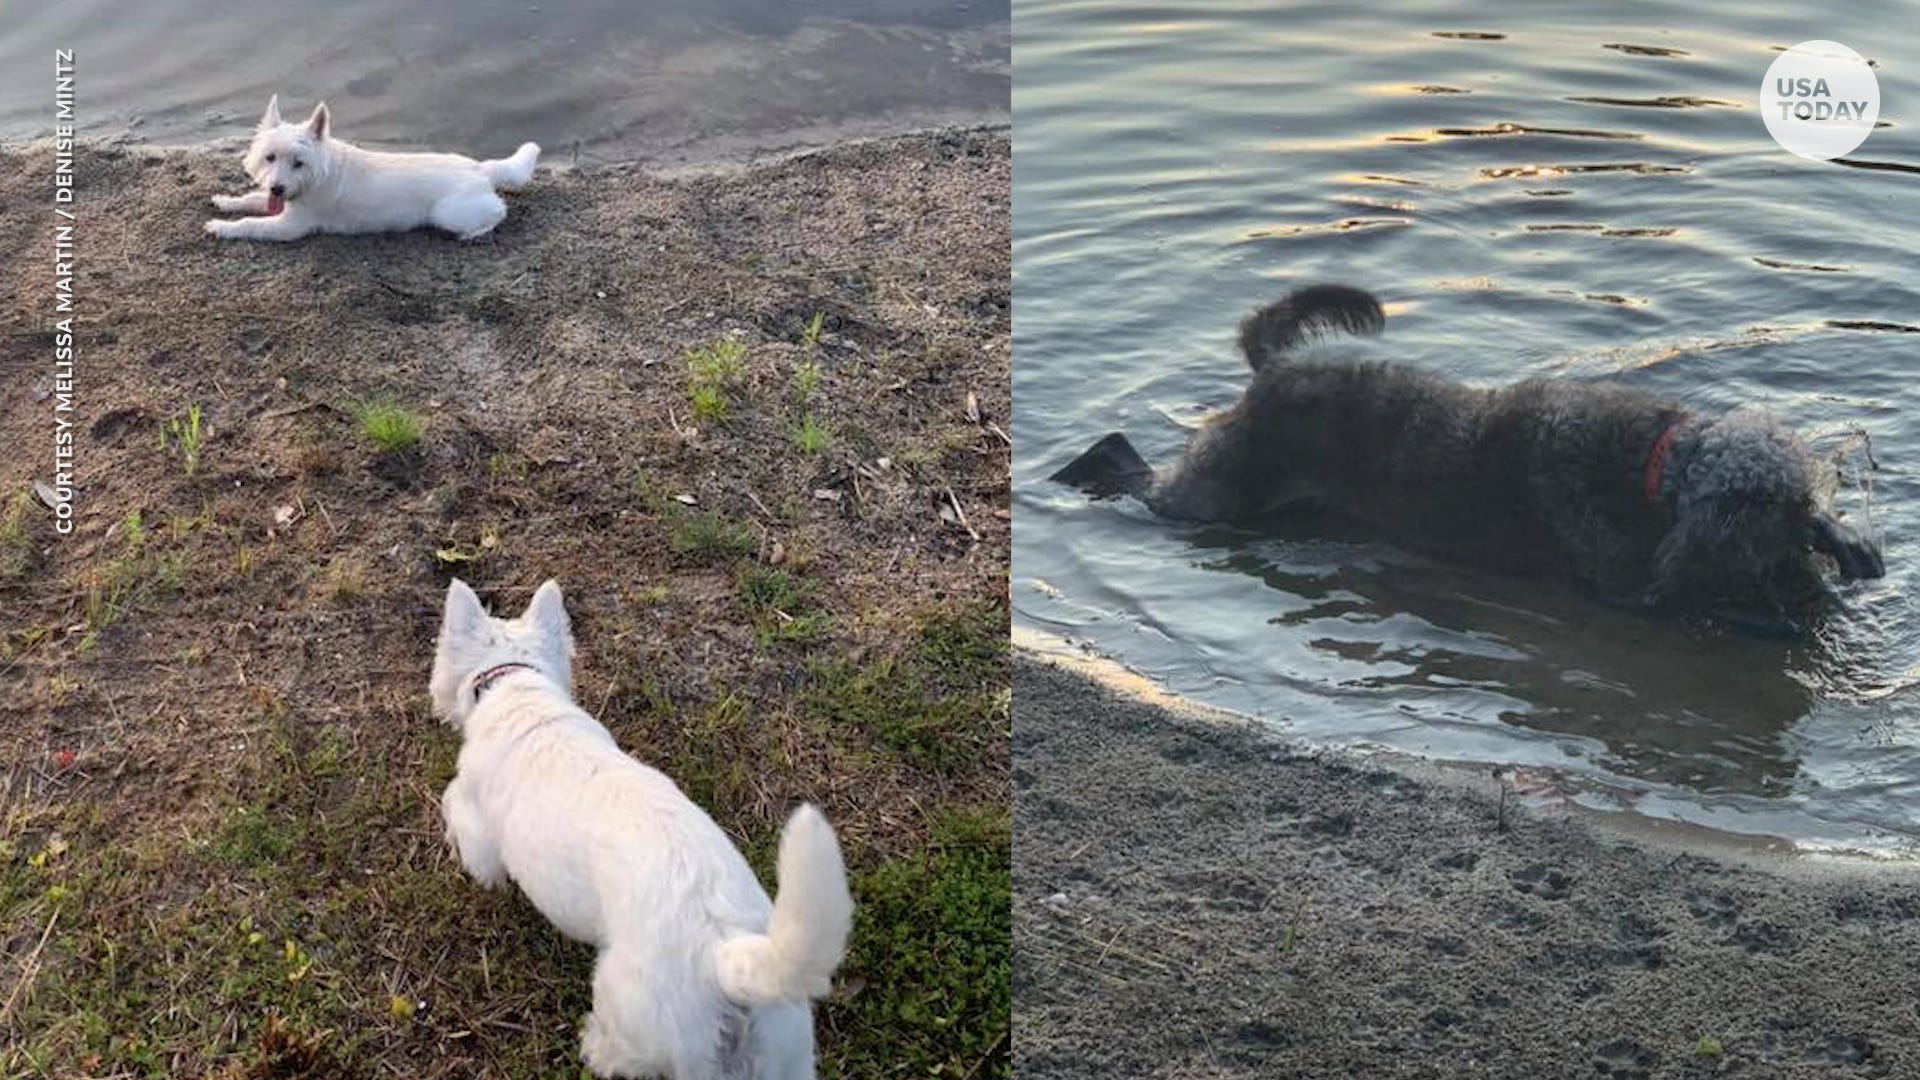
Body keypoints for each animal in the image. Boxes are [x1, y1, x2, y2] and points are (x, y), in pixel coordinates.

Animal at [208, 95, 541, 240]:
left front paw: (222, 227)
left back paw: (474, 232)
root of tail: (480, 169)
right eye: (270, 158)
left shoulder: (290, 227)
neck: (317, 175)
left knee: (498, 211)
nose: (277, 187)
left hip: (448, 214)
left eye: (298, 163)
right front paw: (226, 201)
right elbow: (251, 199)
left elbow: (250, 224)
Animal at [435, 576, 856, 1076]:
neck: (516, 687)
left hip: (634, 1009)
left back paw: (594, 1046)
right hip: (786, 1052)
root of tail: (724, 957)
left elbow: (459, 818)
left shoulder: (480, 830)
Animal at [1059, 284, 1881, 630]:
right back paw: (1080, 471)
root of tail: (1274, 373)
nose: (1814, 573)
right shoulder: (1629, 582)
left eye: (1806, 516)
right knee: (1132, 468)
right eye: (1778, 523)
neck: (1654, 470)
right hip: (1213, 492)